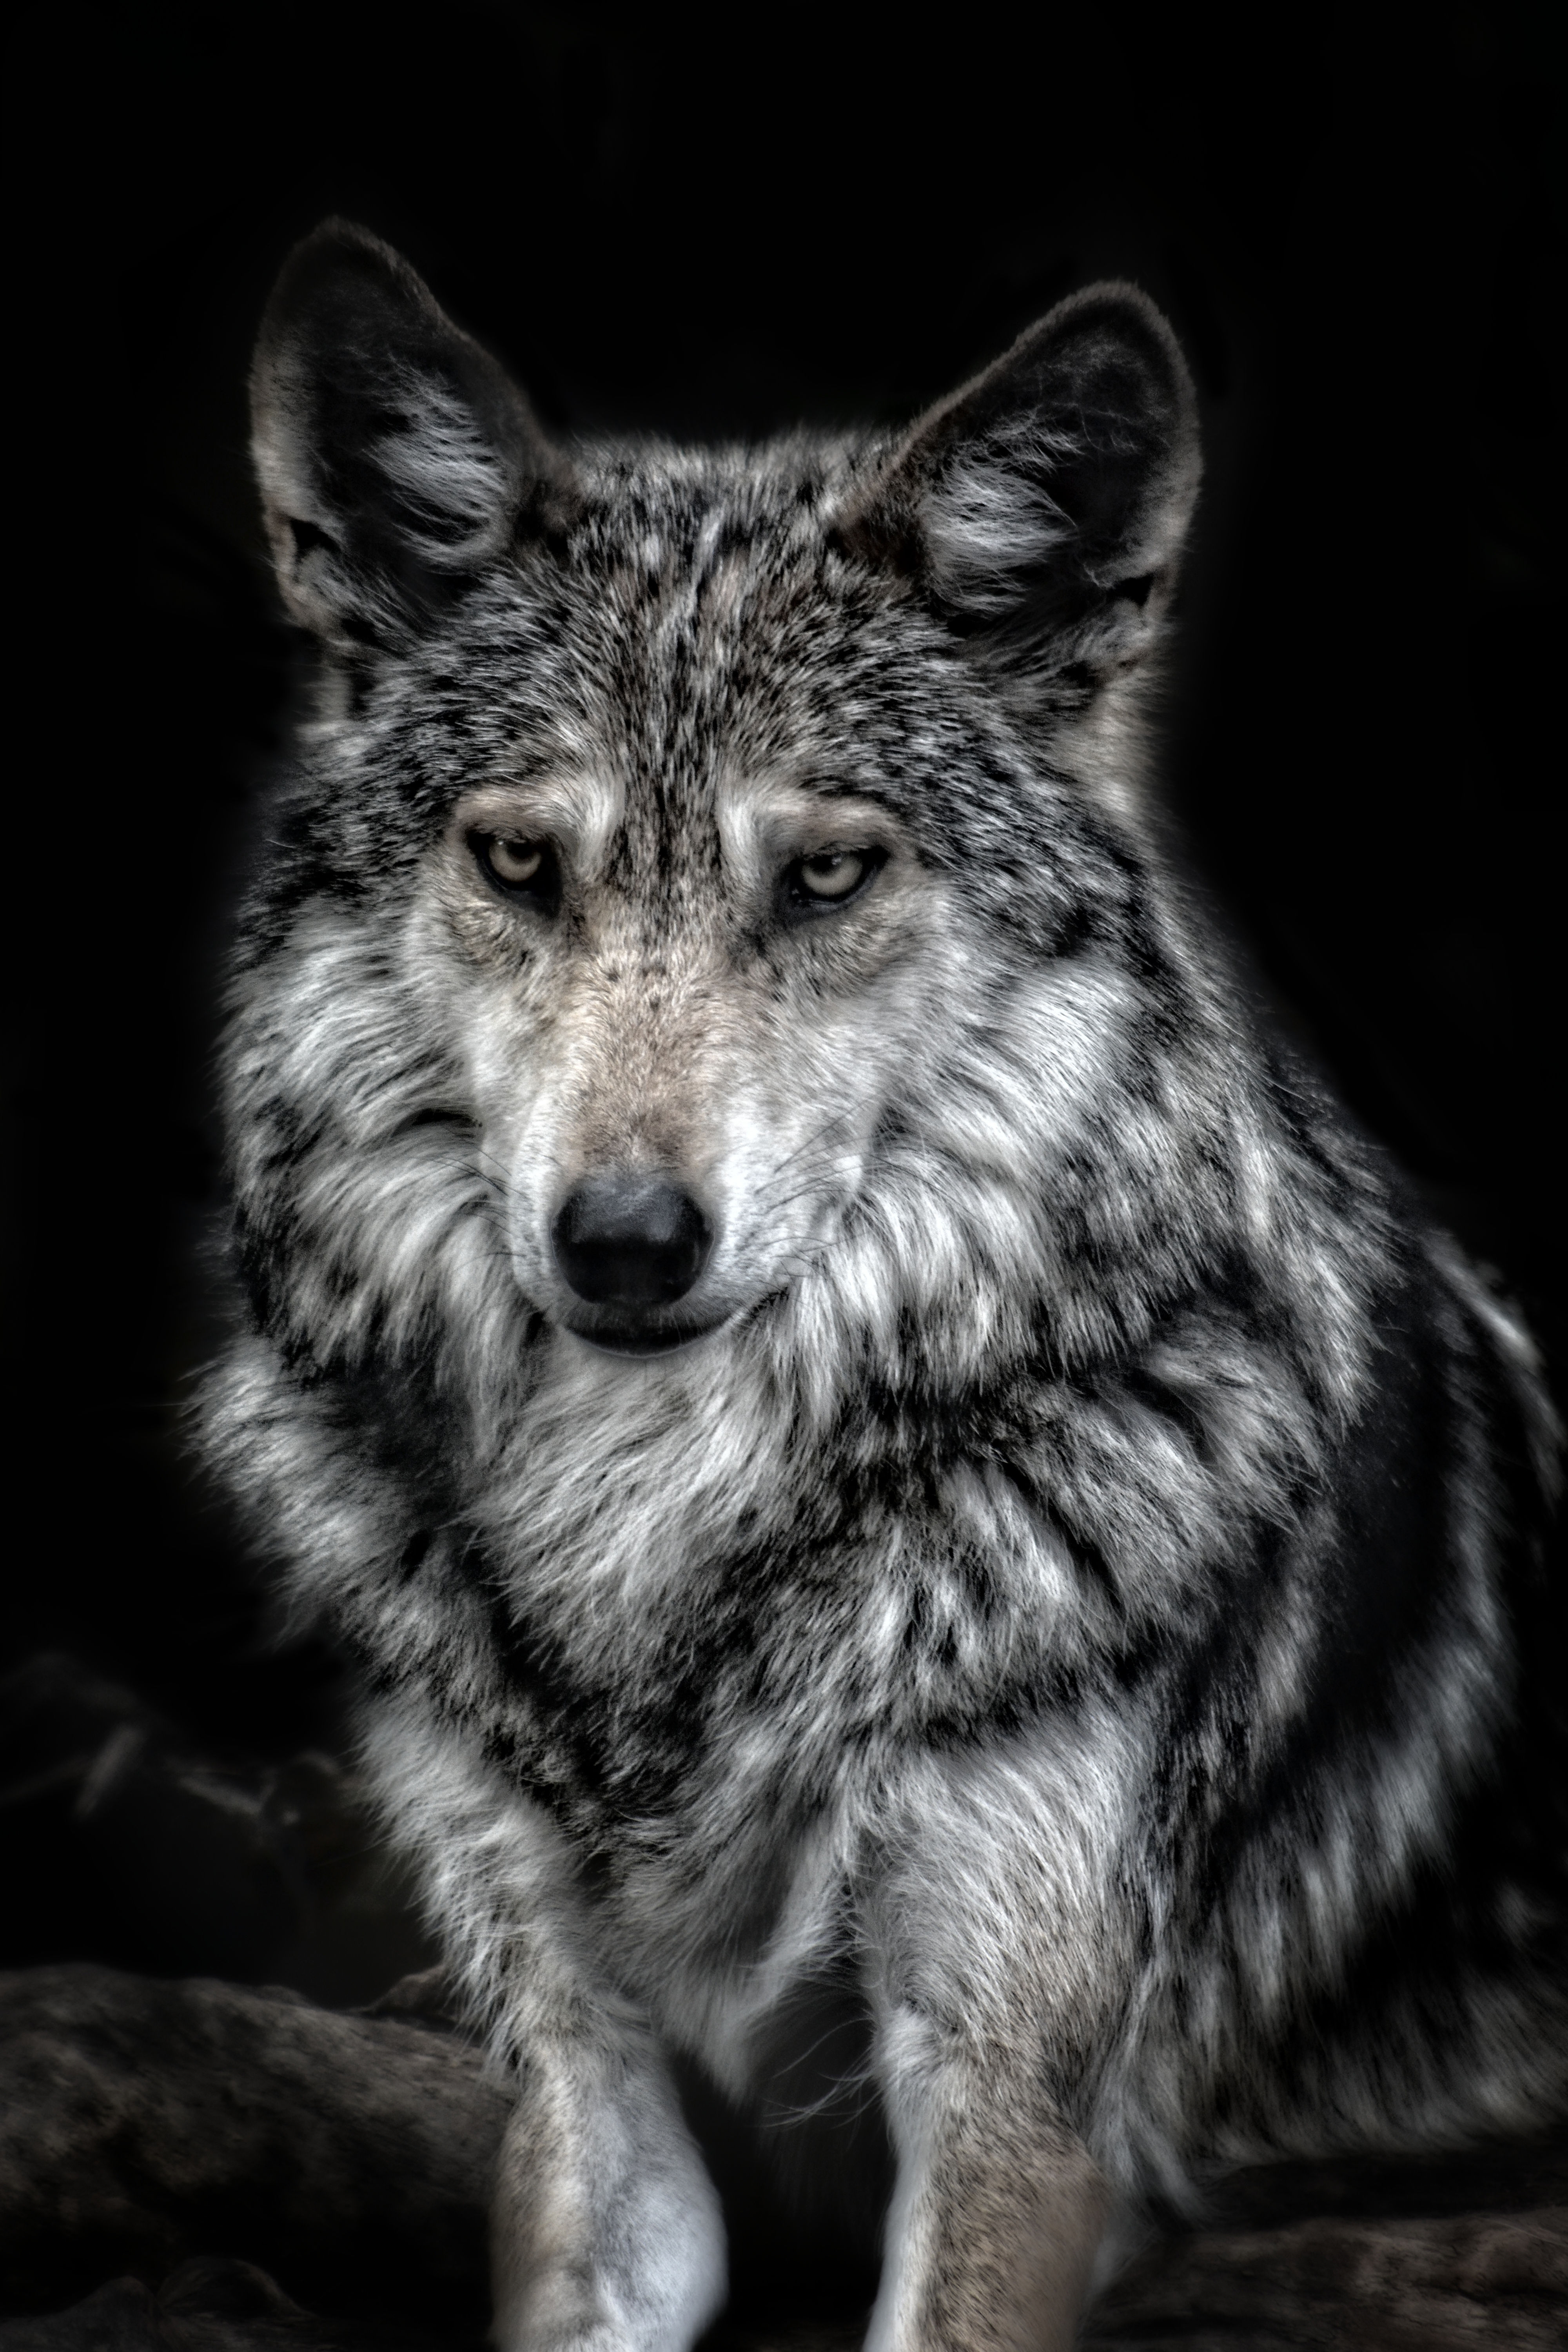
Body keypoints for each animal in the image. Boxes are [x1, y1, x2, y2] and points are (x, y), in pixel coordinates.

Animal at [200, 219, 1565, 2352]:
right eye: (518, 862)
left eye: (827, 876)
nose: (621, 1239)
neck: (653, 1533)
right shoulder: (585, 2093)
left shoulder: (1006, 2116)